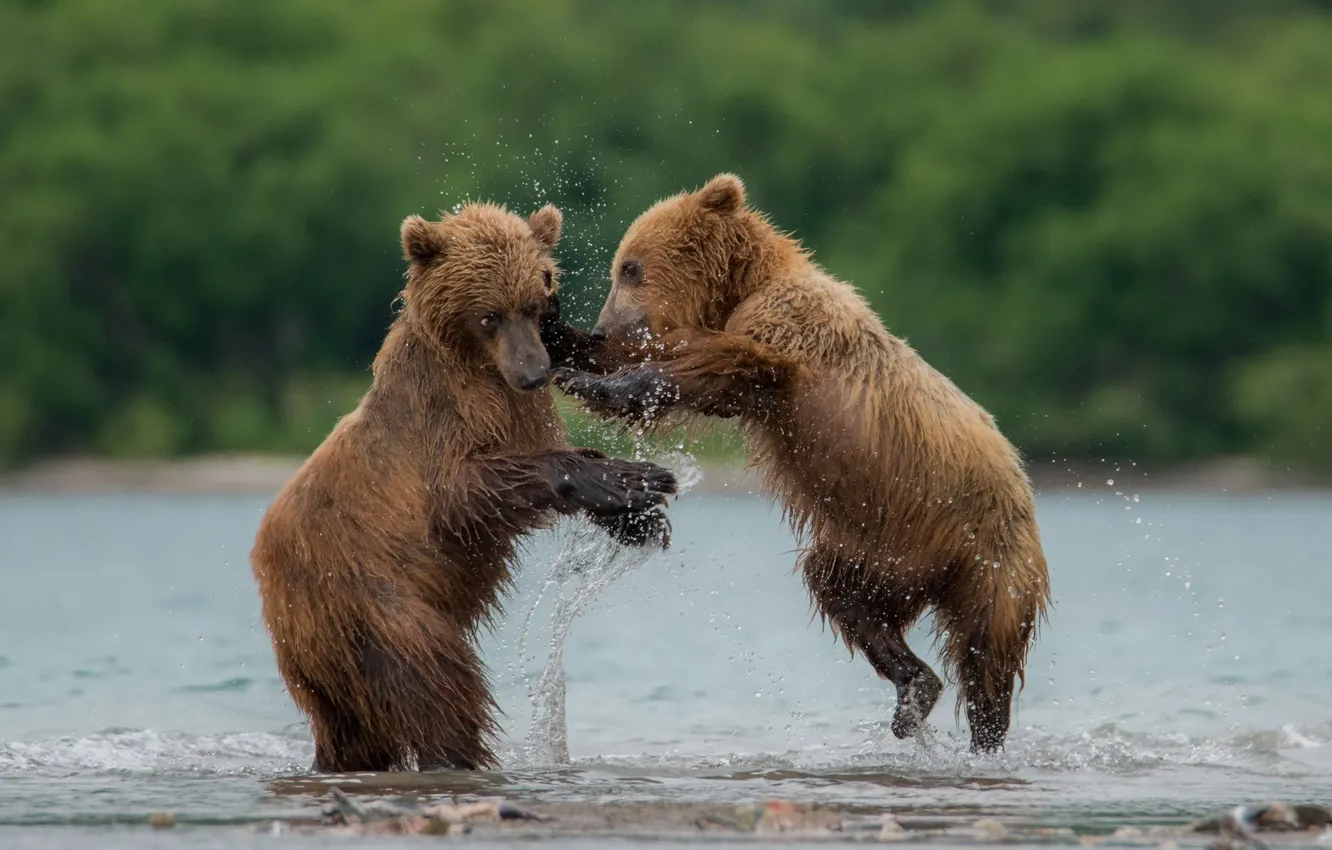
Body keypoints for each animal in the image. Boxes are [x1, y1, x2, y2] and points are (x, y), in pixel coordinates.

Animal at [250, 201, 678, 774]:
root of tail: (268, 576)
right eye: (488, 315)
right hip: (371, 602)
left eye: (533, 303)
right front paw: (634, 478)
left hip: (328, 663)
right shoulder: (445, 417)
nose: (535, 372)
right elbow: (468, 490)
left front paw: (639, 514)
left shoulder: (522, 412)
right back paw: (458, 753)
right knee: (438, 687)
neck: (480, 367)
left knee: (353, 731)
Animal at [545, 174, 1050, 753]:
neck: (743, 287)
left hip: (990, 558)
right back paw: (914, 689)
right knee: (843, 596)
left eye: (629, 267)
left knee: (987, 652)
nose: (605, 326)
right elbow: (671, 361)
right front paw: (562, 341)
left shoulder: (786, 334)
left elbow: (707, 367)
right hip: (872, 550)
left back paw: (984, 733)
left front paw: (592, 380)